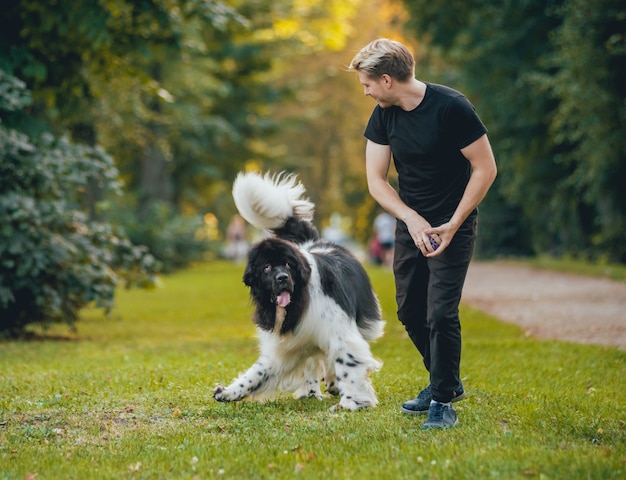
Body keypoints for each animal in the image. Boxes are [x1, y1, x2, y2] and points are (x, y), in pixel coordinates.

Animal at [212, 171, 382, 410]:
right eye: (266, 267)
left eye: (288, 264)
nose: (282, 278)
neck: (298, 302)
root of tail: (313, 242)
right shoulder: (286, 345)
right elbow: (258, 373)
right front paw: (229, 392)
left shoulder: (340, 334)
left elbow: (347, 364)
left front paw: (350, 403)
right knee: (313, 362)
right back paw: (312, 391)